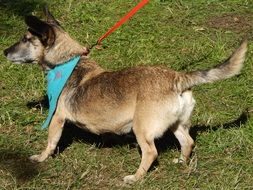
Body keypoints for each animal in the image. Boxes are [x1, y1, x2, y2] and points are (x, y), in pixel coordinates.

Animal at [2, 8, 247, 184]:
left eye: (25, 39)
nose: (4, 51)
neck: (67, 62)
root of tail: (177, 77)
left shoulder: (58, 118)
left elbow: (51, 143)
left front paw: (41, 158)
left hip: (142, 129)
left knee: (151, 153)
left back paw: (135, 178)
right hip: (176, 124)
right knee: (188, 142)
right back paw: (180, 162)